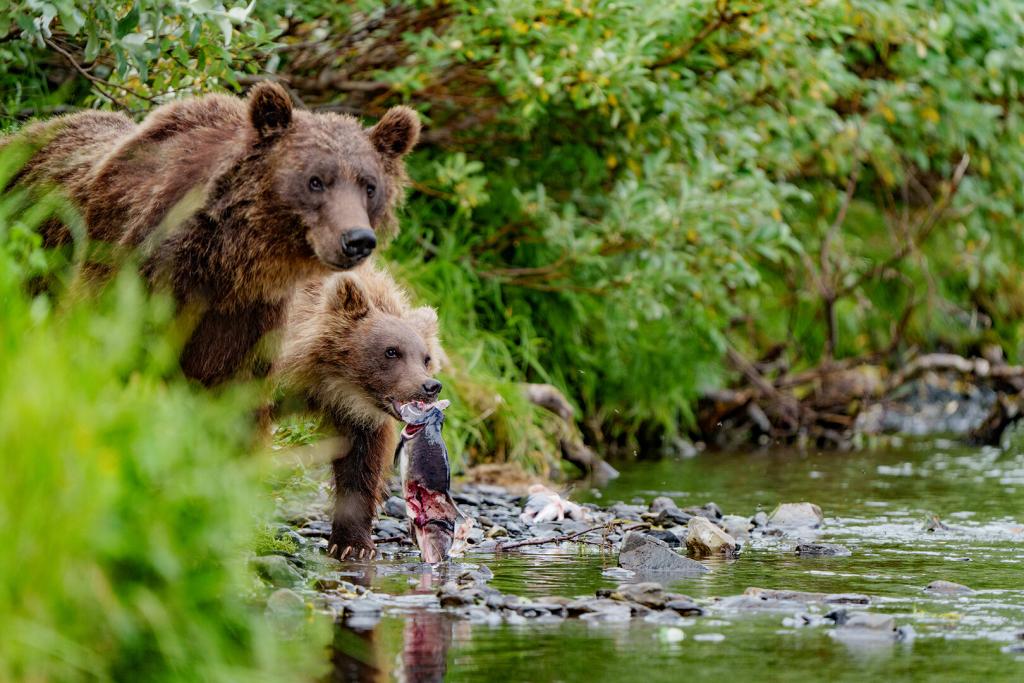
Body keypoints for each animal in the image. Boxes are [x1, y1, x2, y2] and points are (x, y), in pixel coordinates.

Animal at [6, 81, 417, 385]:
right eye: (316, 180)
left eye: (369, 186)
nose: (357, 240)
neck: (223, 265)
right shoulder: (128, 267)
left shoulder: (246, 318)